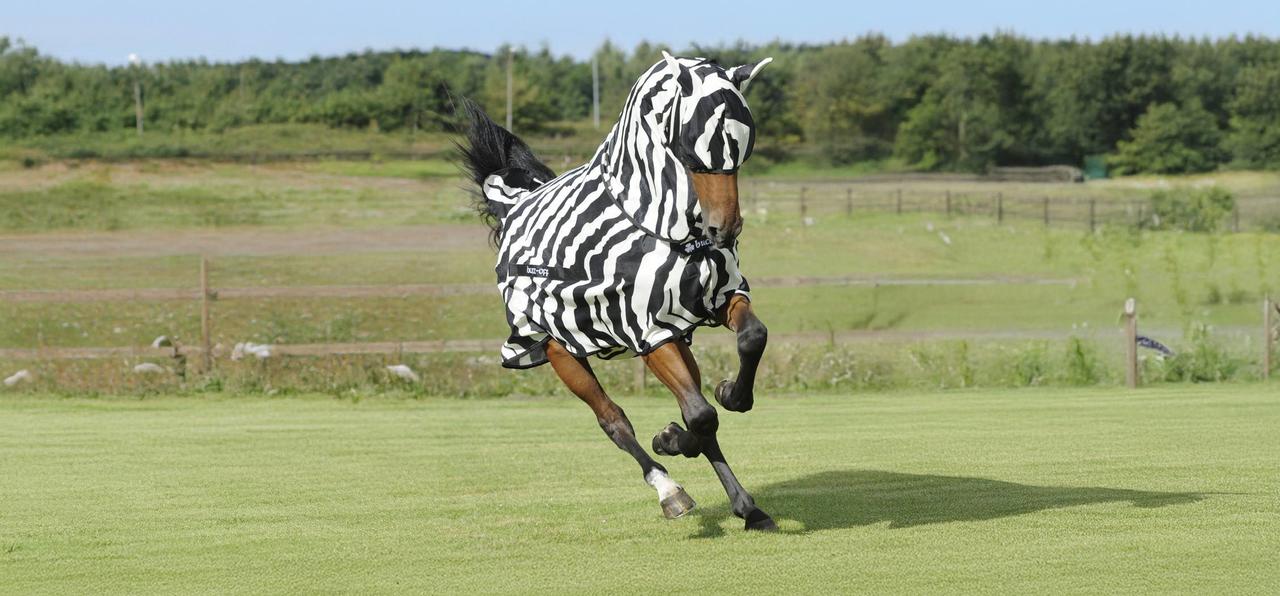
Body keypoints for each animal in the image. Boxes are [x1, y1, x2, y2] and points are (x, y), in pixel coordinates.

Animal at [458, 51, 777, 531]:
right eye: (692, 145)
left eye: (744, 146)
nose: (725, 228)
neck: (659, 228)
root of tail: (514, 206)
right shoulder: (648, 332)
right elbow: (701, 416)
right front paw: (674, 441)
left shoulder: (713, 300)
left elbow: (749, 342)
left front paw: (727, 397)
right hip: (560, 352)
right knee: (615, 421)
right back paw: (670, 491)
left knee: (691, 408)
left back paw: (743, 502)